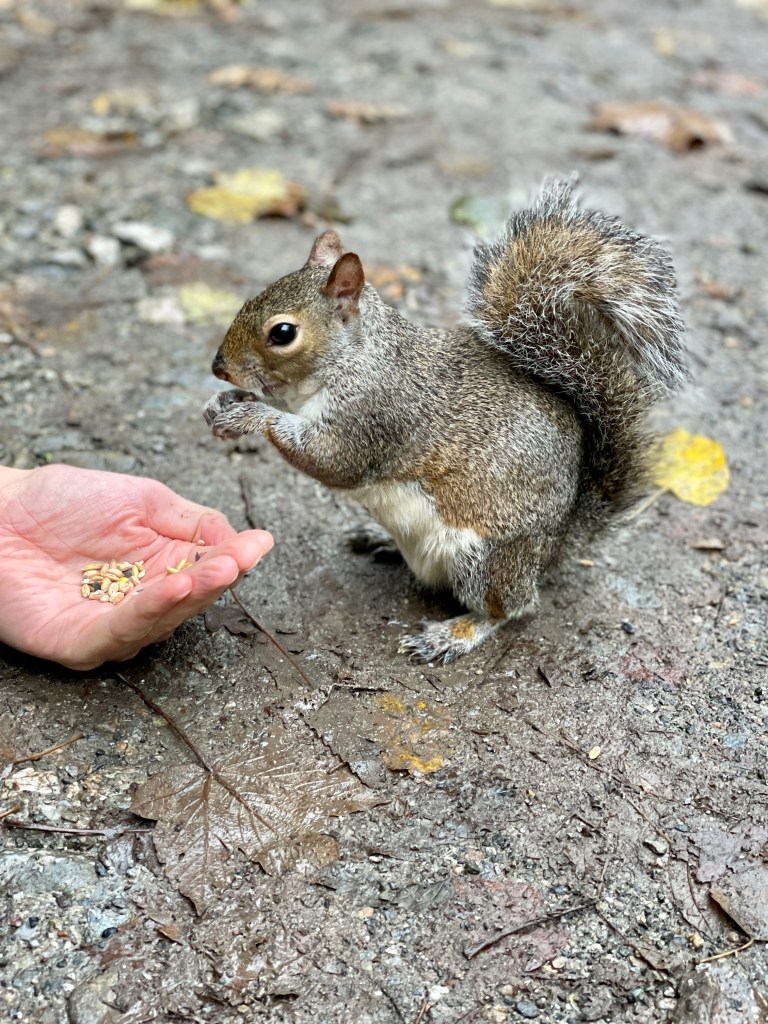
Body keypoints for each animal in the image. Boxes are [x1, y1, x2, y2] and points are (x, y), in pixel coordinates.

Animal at [204, 181, 688, 663]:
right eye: (250, 299)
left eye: (283, 333)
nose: (218, 368)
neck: (354, 358)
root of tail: (555, 547)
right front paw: (220, 403)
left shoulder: (376, 415)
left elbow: (333, 461)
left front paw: (251, 415)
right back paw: (379, 539)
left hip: (484, 561)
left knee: (511, 609)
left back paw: (454, 633)